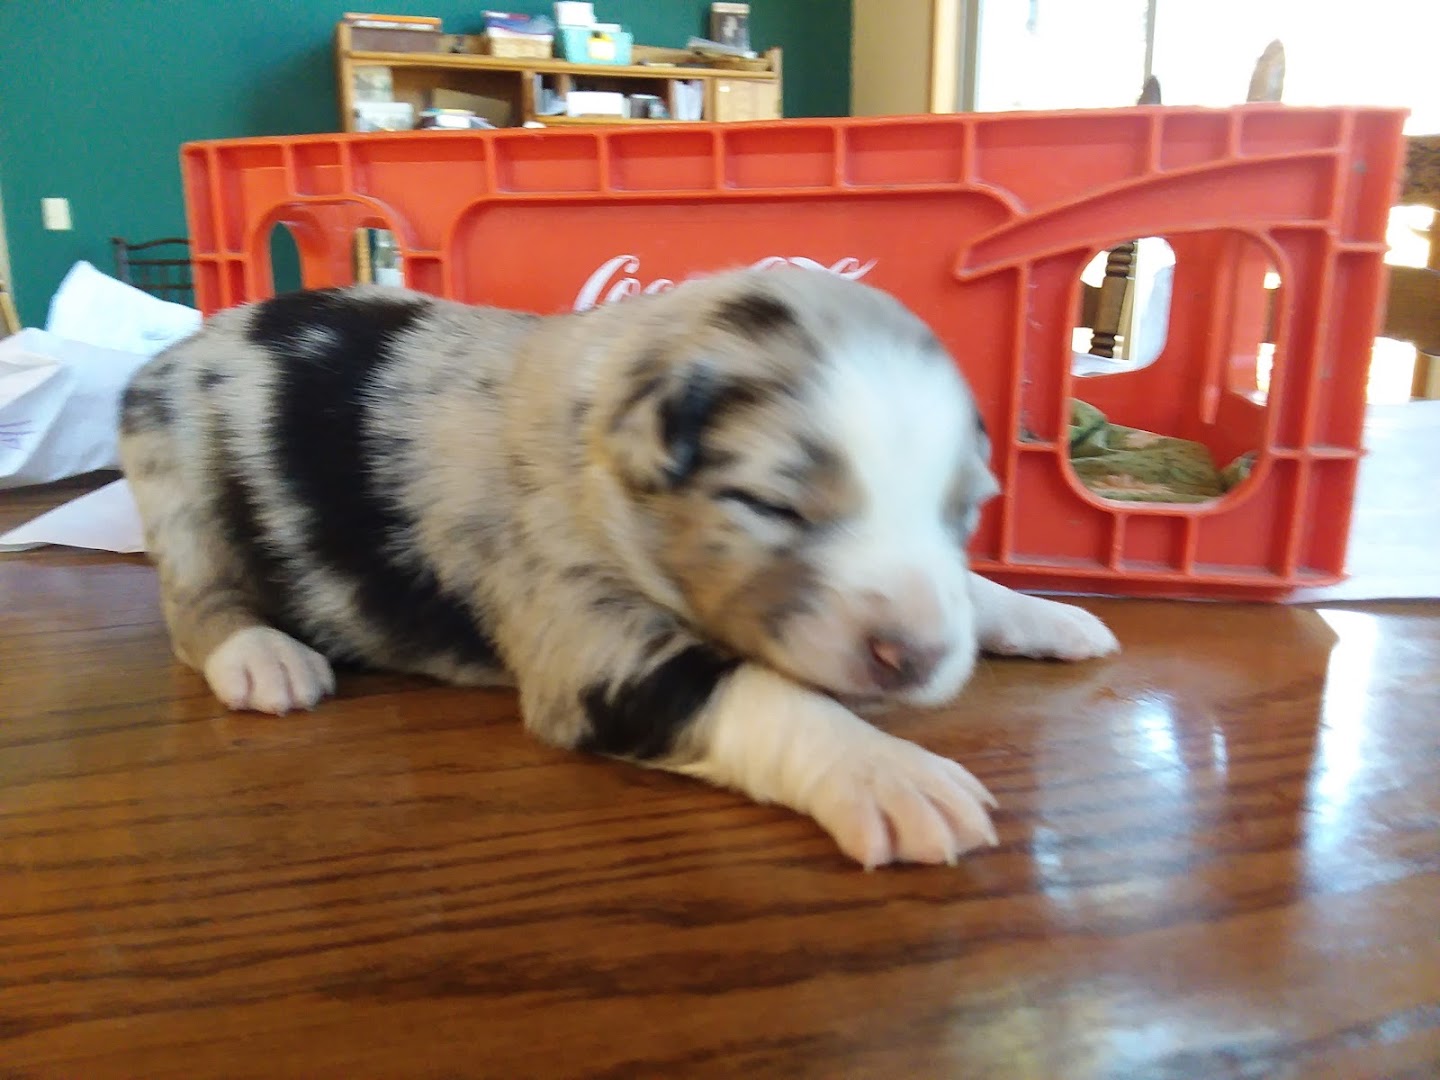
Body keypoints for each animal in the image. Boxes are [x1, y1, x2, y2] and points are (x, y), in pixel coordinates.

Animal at [118, 267, 1118, 868]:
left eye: (965, 509)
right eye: (771, 507)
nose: (912, 657)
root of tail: (172, 348)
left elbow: (974, 589)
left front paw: (1047, 612)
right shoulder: (589, 634)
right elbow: (763, 695)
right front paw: (890, 773)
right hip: (179, 487)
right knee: (193, 607)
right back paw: (263, 659)